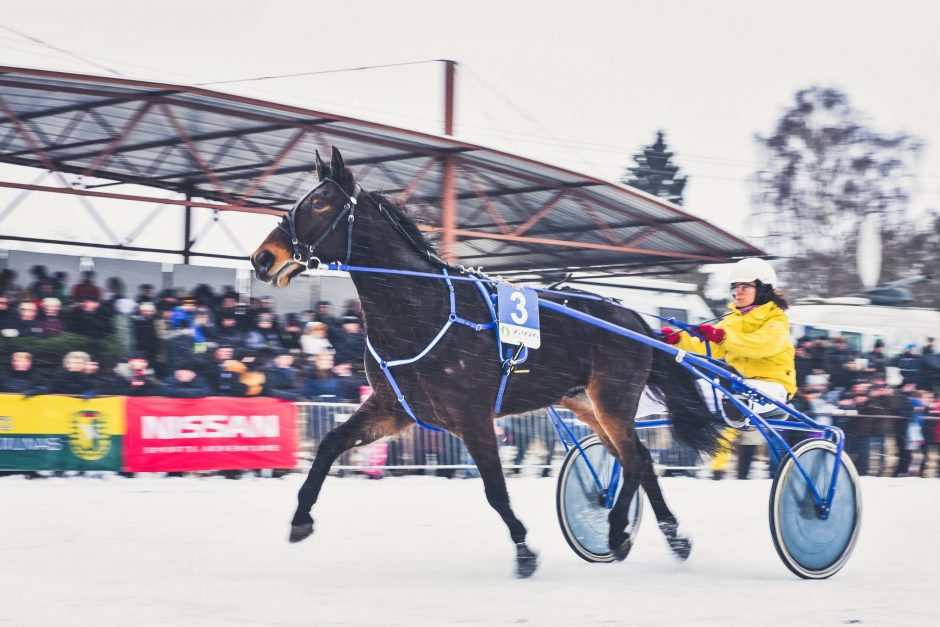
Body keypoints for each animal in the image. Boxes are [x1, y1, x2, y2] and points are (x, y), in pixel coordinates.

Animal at [250, 147, 720, 580]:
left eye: (319, 202)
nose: (262, 258)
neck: (423, 307)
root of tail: (634, 318)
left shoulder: (472, 417)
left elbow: (496, 490)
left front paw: (525, 551)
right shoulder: (393, 409)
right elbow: (329, 443)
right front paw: (300, 518)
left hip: (613, 400)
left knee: (636, 461)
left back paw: (619, 530)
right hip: (587, 405)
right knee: (638, 460)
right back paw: (671, 537)